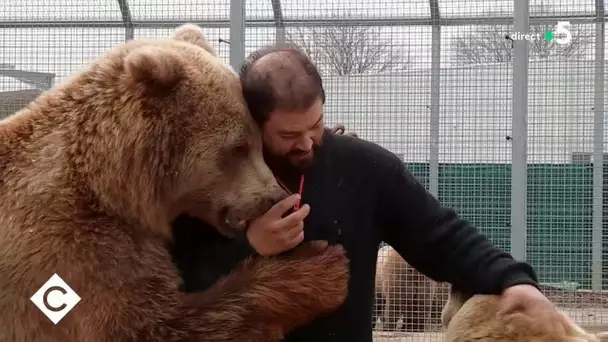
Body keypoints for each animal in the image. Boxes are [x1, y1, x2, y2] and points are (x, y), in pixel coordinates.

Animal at [0, 22, 350, 340]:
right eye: (238, 147)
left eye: (259, 144)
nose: (275, 196)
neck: (111, 186)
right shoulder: (73, 249)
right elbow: (153, 325)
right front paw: (322, 266)